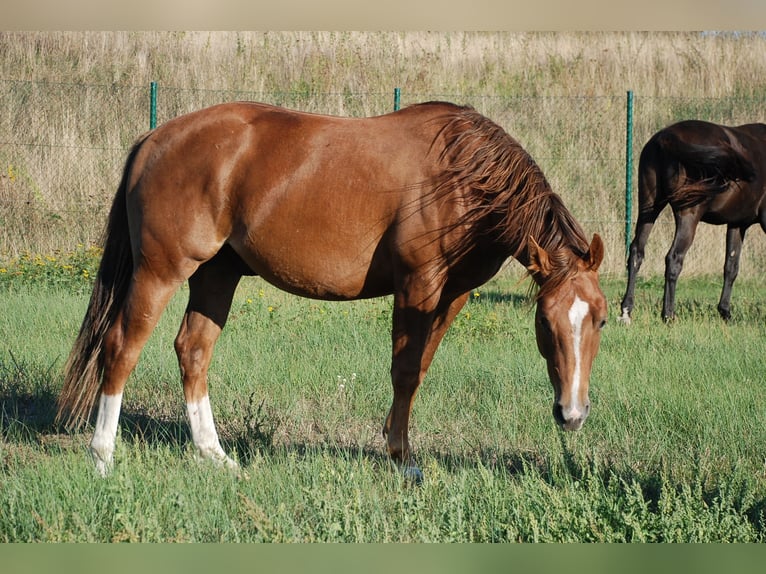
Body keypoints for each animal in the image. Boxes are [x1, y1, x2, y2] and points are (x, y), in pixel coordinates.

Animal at [56, 101, 607, 479]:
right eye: (544, 321)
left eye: (600, 319)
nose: (572, 414)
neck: (462, 176)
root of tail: (154, 137)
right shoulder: (418, 285)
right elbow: (404, 370)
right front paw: (402, 459)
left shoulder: (454, 294)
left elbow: (420, 369)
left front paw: (394, 442)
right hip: (160, 271)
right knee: (121, 348)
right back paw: (103, 456)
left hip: (216, 275)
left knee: (192, 351)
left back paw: (215, 455)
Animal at [619, 119, 766, 323]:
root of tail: (667, 137)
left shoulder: (737, 225)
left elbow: (731, 266)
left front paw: (725, 312)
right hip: (688, 215)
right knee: (674, 257)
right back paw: (668, 315)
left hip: (649, 206)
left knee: (636, 251)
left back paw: (626, 311)